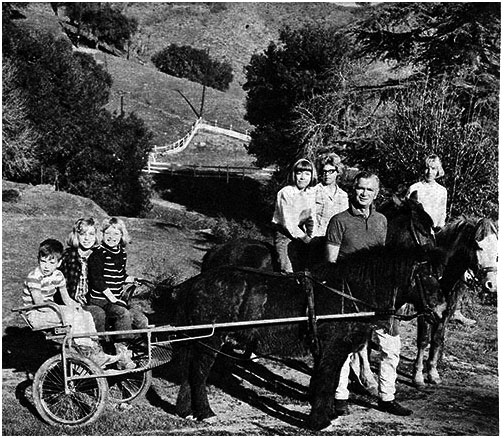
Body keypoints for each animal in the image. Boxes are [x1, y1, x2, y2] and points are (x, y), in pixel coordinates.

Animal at [414, 217, 500, 384]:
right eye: (477, 246)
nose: (492, 285)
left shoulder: (445, 313)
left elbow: (437, 339)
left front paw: (433, 372)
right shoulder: (424, 313)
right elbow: (423, 340)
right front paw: (418, 375)